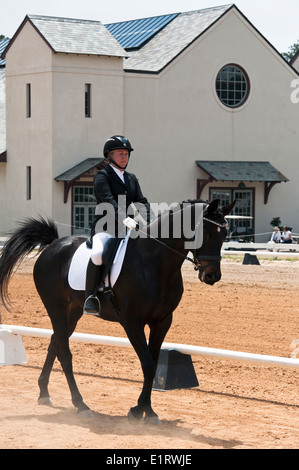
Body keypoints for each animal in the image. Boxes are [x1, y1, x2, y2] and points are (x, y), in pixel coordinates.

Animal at [0, 196, 234, 424]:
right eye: (206, 233)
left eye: (224, 235)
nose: (212, 276)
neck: (154, 262)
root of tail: (53, 245)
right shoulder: (132, 322)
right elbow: (148, 364)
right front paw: (138, 411)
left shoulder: (162, 321)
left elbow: (153, 363)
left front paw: (147, 411)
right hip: (55, 307)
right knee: (64, 354)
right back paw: (81, 406)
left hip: (73, 311)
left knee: (55, 342)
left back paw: (44, 393)